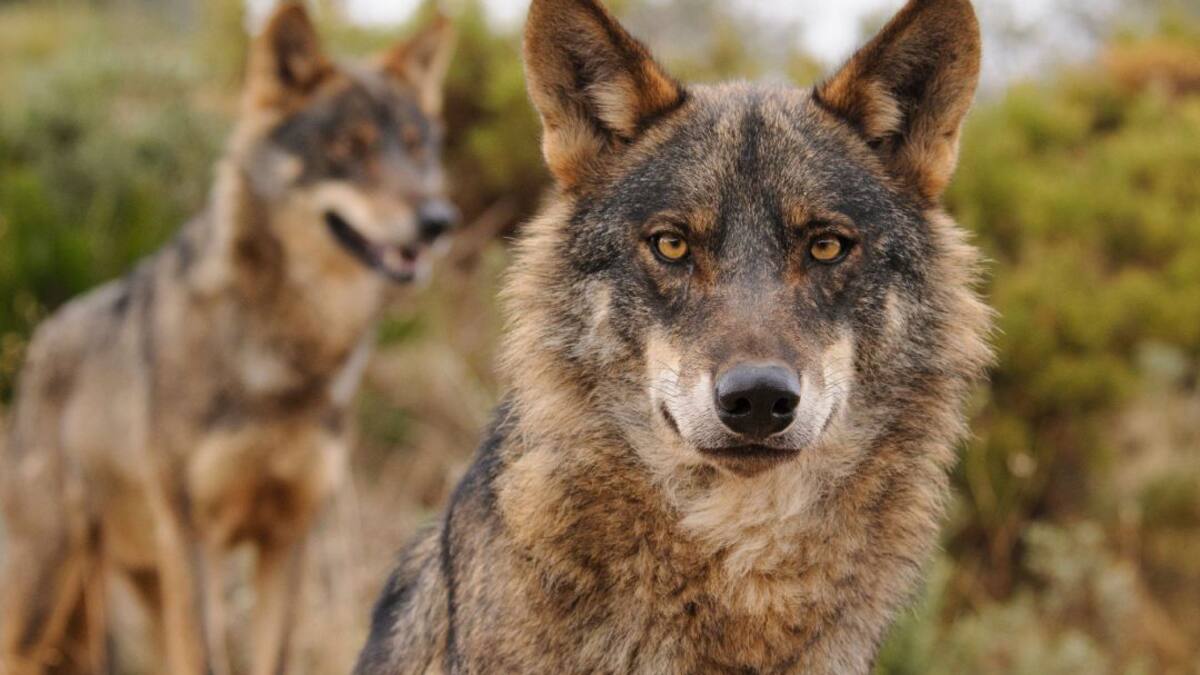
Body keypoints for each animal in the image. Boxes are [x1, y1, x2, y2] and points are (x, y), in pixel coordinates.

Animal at [0, 5, 456, 674]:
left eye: (417, 147)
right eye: (349, 147)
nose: (438, 221)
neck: (287, 358)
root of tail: (40, 339)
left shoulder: (287, 537)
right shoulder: (196, 538)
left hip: (141, 591)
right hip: (50, 596)